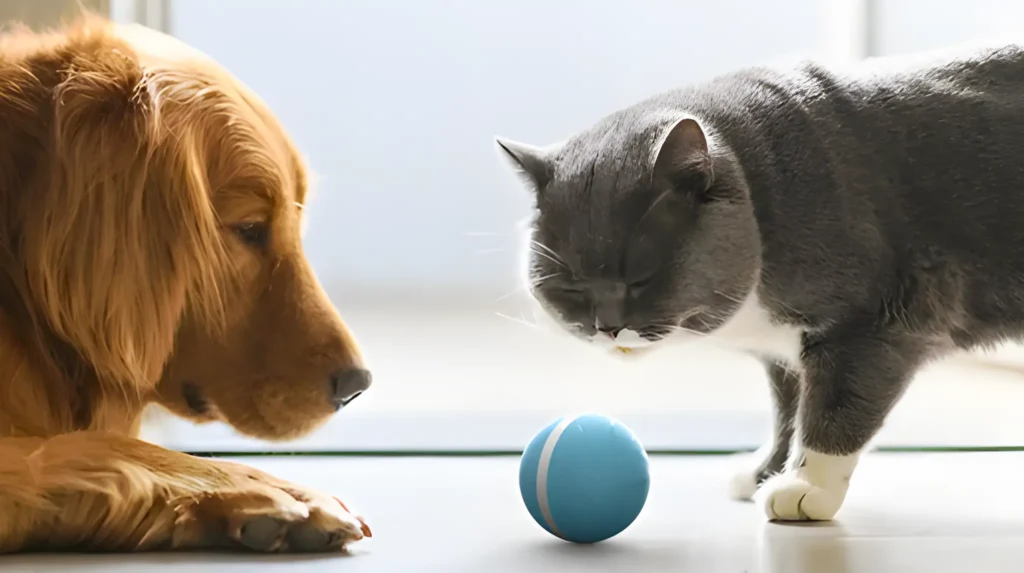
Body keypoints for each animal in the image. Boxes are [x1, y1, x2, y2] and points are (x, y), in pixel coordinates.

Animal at [493, 42, 1024, 521]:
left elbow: (832, 408)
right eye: (571, 287)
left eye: (642, 279)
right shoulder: (784, 355)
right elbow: (788, 412)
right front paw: (765, 471)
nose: (607, 327)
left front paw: (806, 488)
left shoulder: (871, 322)